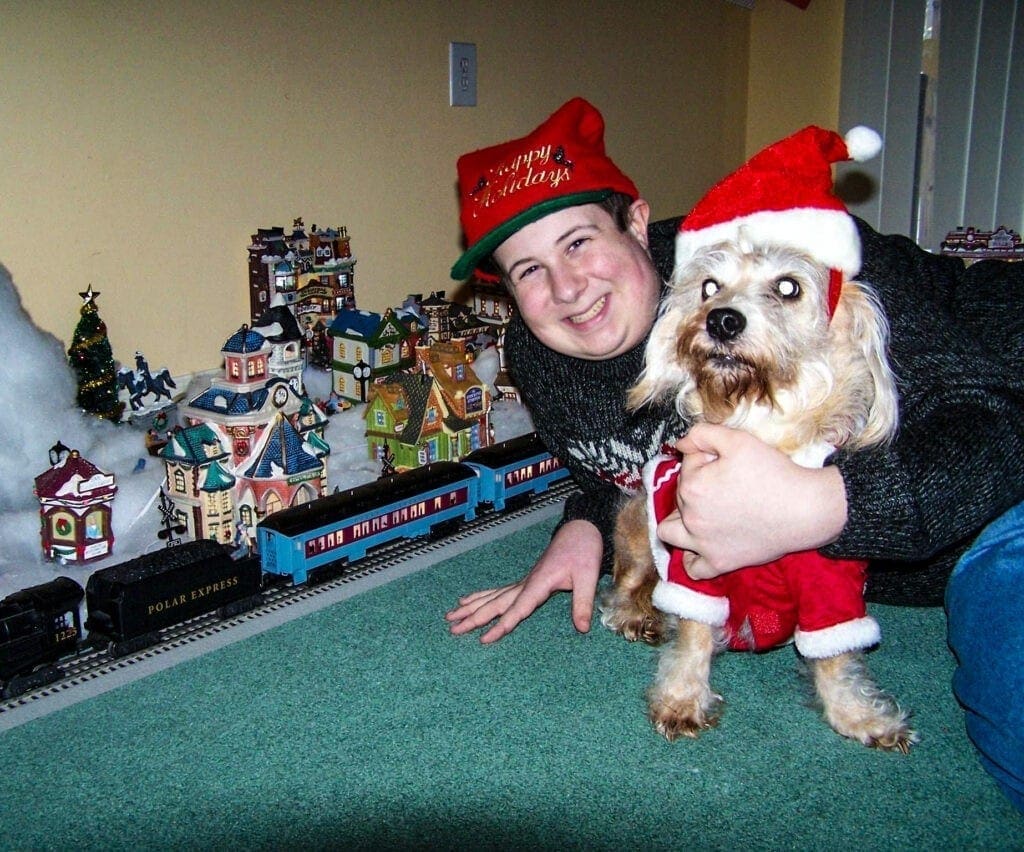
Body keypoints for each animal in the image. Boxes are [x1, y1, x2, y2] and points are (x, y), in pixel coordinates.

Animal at [598, 126, 917, 753]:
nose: (721, 319)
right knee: (627, 585)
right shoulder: (696, 565)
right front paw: (681, 699)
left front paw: (858, 714)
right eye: (709, 286)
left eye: (789, 286)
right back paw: (638, 615)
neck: (763, 426)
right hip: (639, 527)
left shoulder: (831, 581)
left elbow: (836, 656)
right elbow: (694, 635)